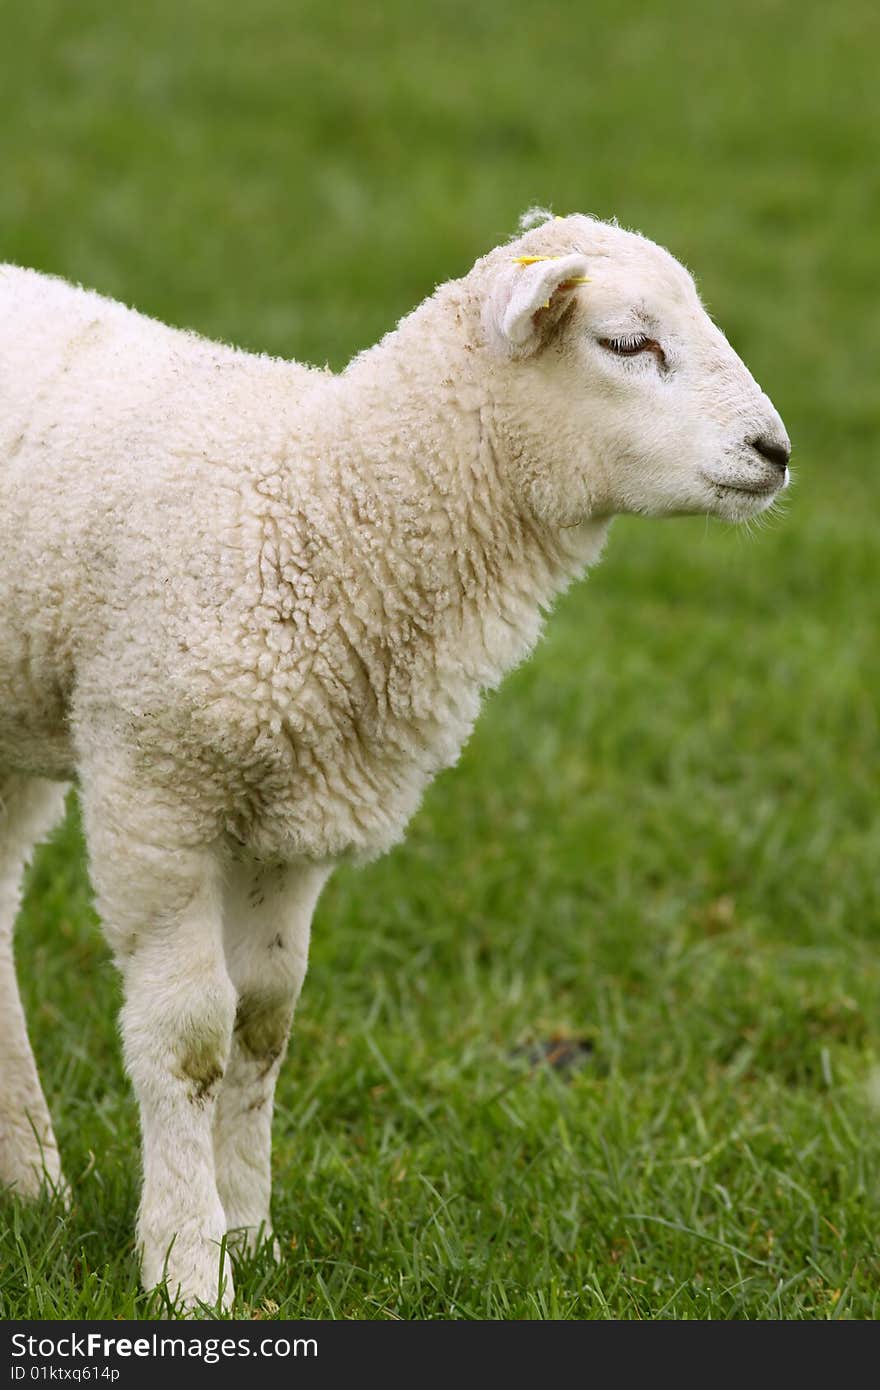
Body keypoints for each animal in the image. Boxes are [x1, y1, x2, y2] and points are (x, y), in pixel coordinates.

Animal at [0, 211, 789, 1306]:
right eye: (628, 343)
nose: (776, 452)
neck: (319, 508)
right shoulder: (154, 793)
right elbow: (191, 1040)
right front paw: (185, 1262)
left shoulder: (289, 825)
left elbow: (263, 1024)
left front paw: (251, 1233)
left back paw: (29, 1176)